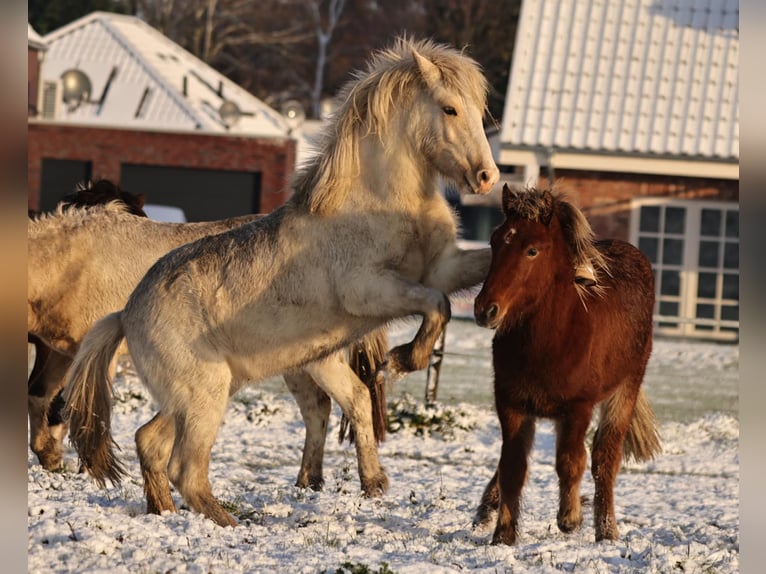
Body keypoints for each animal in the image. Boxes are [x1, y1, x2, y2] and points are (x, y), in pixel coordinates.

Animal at [472, 187, 664, 548]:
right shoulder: (511, 404)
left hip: (625, 390)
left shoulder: (579, 408)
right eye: (494, 241)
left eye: (532, 250)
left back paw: (606, 530)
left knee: (604, 458)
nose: (485, 310)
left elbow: (571, 462)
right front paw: (503, 535)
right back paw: (486, 510)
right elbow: (512, 466)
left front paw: (570, 517)